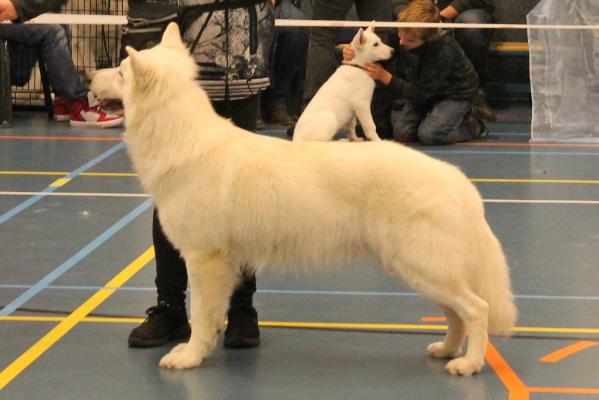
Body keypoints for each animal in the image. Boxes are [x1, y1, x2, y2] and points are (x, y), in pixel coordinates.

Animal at [116, 23, 516, 376]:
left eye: (120, 73)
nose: (100, 78)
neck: (182, 137)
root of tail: (457, 181)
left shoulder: (204, 260)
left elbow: (201, 315)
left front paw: (189, 357)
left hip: (424, 266)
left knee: (476, 310)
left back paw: (468, 364)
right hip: (426, 270)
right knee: (456, 314)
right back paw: (447, 349)